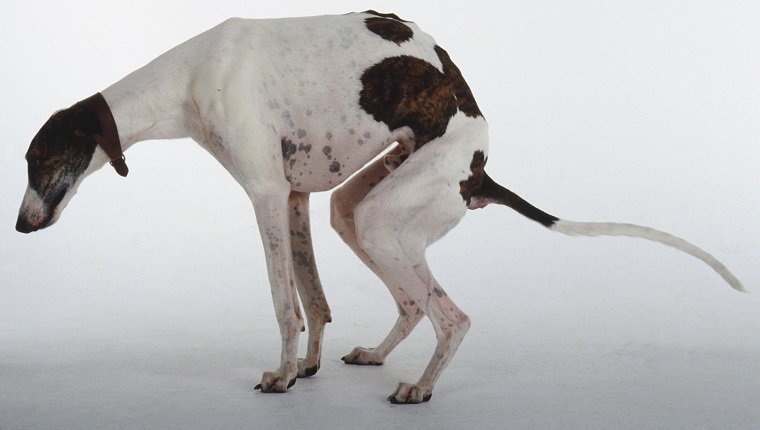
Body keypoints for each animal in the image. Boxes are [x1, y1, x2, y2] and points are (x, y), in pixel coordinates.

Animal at [16, 11, 744, 404]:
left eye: (42, 159)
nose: (21, 225)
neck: (190, 77)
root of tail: (478, 172)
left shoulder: (266, 196)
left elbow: (282, 302)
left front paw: (280, 376)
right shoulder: (297, 198)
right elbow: (314, 300)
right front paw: (305, 368)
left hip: (386, 218)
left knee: (452, 315)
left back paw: (419, 389)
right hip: (356, 209)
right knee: (413, 300)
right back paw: (377, 357)